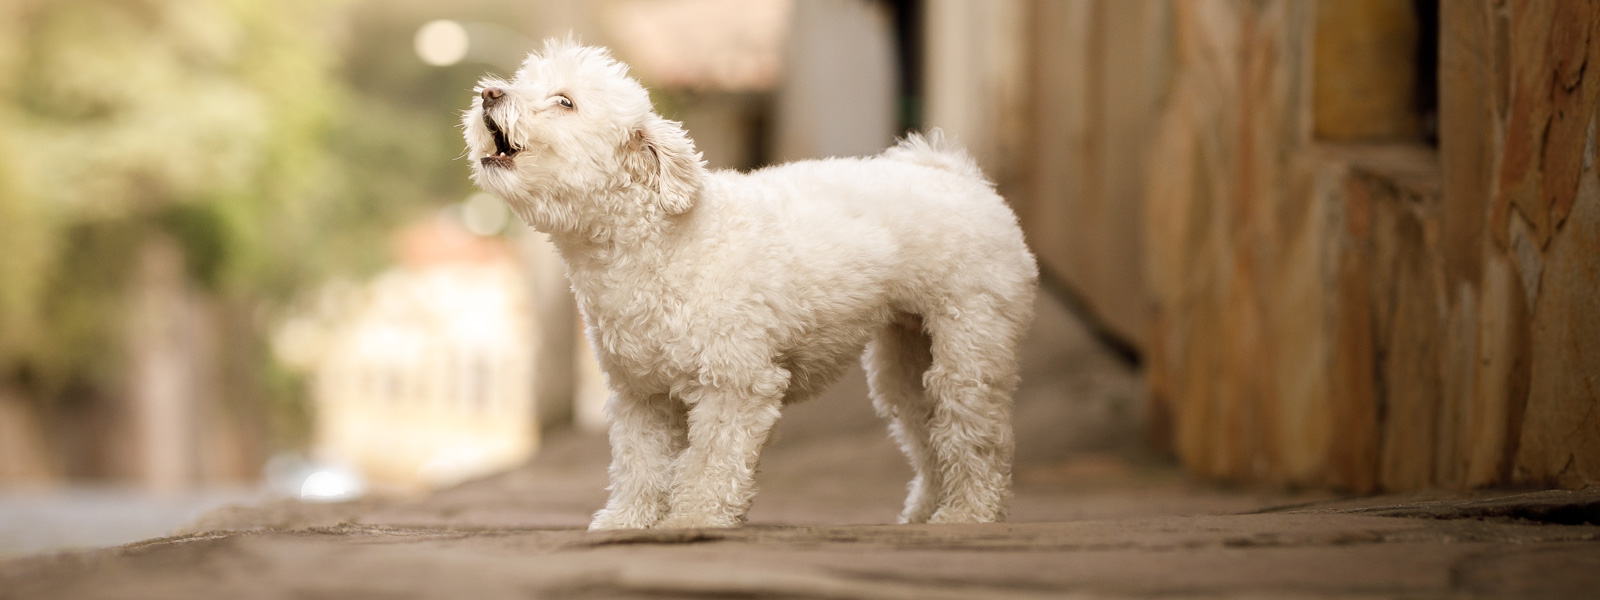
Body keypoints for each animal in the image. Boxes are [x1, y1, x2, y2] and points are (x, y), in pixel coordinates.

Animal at [464, 40, 1036, 531]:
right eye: (521, 82)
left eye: (565, 102)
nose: (490, 92)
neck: (658, 244)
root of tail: (960, 177)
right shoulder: (641, 396)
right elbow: (639, 466)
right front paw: (628, 521)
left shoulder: (736, 385)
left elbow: (711, 461)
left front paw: (693, 519)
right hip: (907, 362)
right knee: (924, 428)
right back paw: (924, 511)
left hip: (970, 346)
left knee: (974, 432)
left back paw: (967, 513)